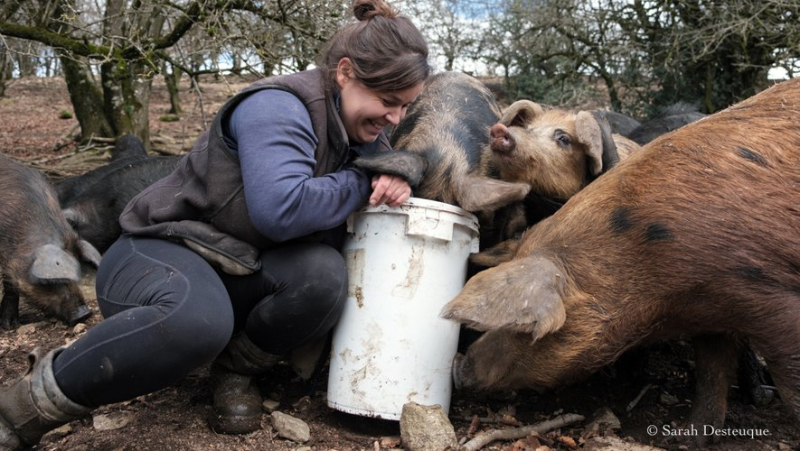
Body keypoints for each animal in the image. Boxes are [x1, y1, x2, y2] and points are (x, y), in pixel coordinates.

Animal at [444, 77, 800, 442]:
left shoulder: (765, 293)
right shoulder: (713, 312)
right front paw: (681, 438)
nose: (457, 367)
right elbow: (711, 377)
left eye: (527, 330)